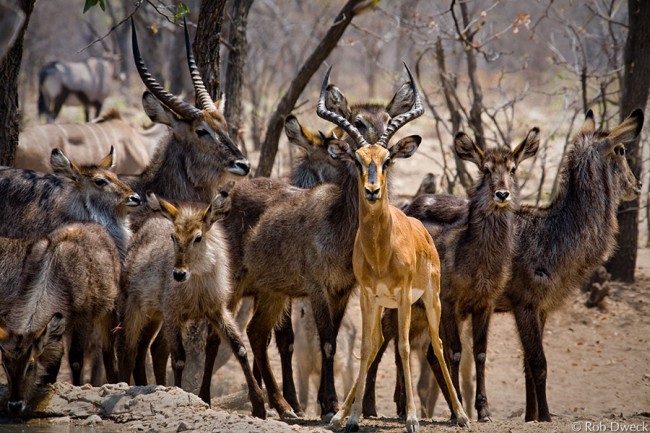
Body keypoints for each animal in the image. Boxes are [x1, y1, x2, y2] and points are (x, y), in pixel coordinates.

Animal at [0, 222, 121, 414]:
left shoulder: (83, 318)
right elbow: (55, 358)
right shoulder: (56, 323)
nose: (15, 405)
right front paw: (48, 384)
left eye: (30, 365)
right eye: (4, 365)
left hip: (109, 309)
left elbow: (76, 360)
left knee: (109, 353)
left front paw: (78, 388)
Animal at [221, 75, 419, 419]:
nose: (372, 189)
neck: (339, 225)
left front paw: (331, 403)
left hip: (271, 292)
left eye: (387, 157)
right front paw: (330, 406)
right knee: (223, 334)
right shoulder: (317, 288)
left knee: (256, 334)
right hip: (234, 285)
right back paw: (250, 402)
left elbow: (334, 341)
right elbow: (325, 342)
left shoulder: (343, 290)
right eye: (356, 157)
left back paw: (283, 406)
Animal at [318, 65, 469, 433]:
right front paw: (350, 418)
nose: (372, 190)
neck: (380, 252)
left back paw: (461, 415)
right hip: (384, 306)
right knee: (375, 346)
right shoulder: (368, 295)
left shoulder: (402, 295)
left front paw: (412, 419)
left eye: (387, 160)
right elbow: (367, 348)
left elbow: (402, 347)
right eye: (358, 160)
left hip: (430, 300)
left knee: (437, 345)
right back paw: (341, 416)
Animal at [362, 128, 540, 422]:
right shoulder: (449, 303)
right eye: (486, 169)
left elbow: (479, 353)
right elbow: (453, 352)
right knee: (382, 342)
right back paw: (371, 407)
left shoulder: (485, 304)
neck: (477, 262)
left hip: (418, 310)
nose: (502, 194)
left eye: (513, 169)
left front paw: (483, 411)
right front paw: (458, 412)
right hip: (396, 304)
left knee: (406, 348)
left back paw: (402, 406)